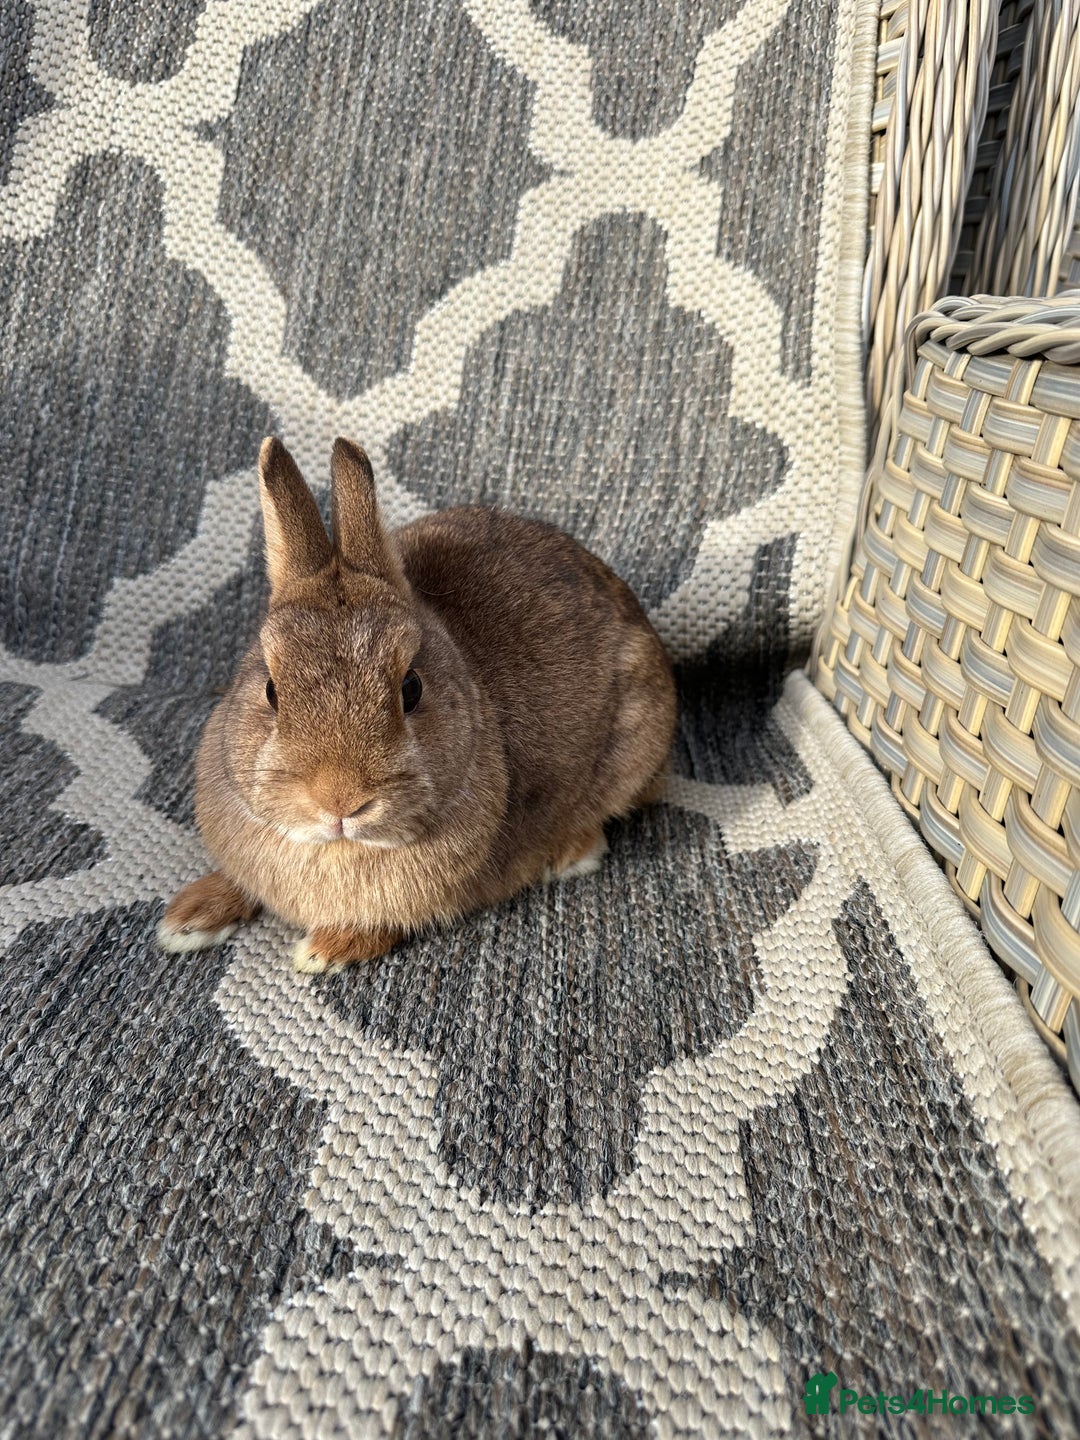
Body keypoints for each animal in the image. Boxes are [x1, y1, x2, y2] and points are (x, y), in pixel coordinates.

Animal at [158, 437, 677, 973]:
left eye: (412, 688)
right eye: (270, 690)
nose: (340, 800)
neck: (339, 847)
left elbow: (381, 923)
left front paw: (325, 950)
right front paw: (190, 917)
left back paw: (569, 854)